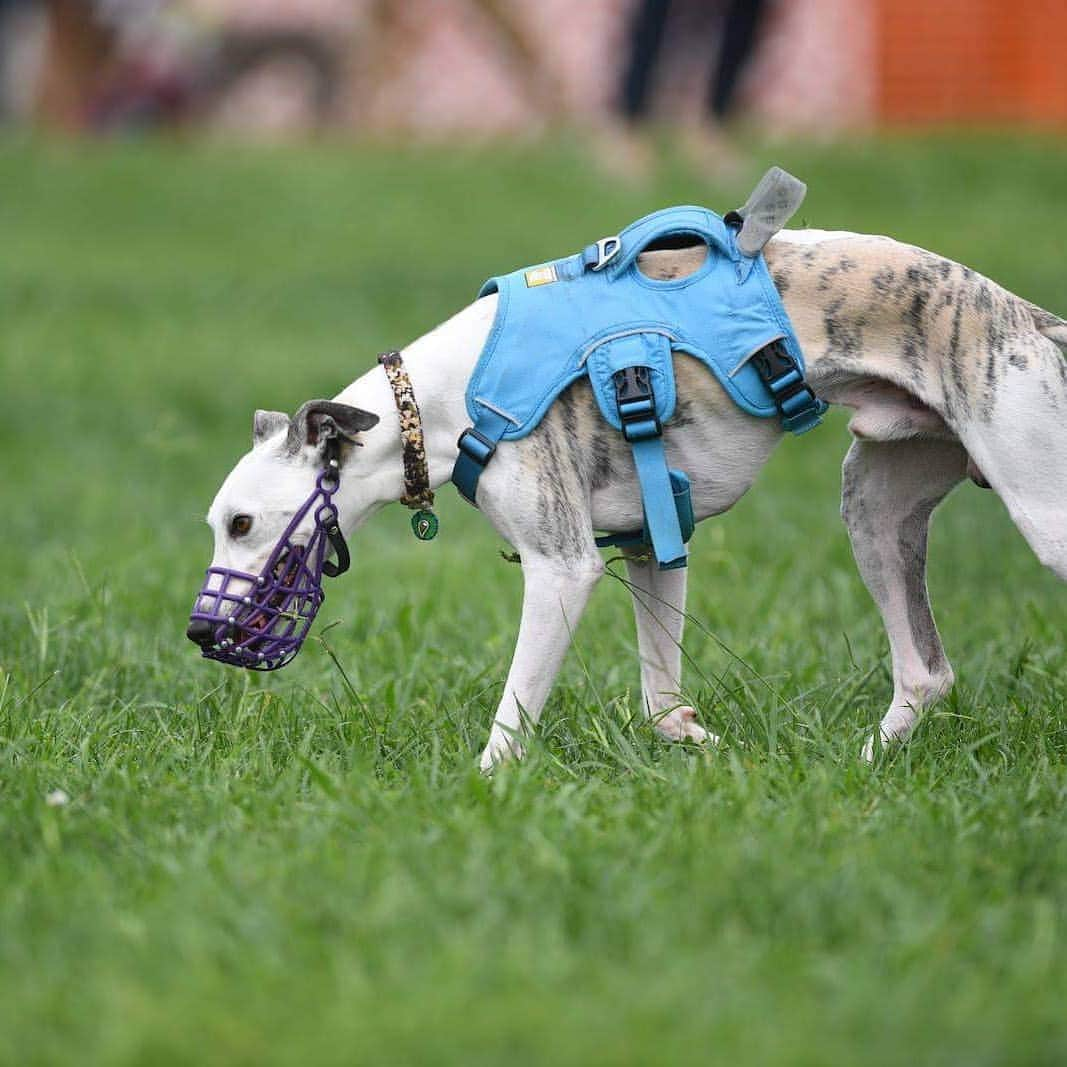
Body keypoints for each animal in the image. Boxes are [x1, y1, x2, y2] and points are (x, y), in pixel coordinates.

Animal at [192, 229, 1067, 772]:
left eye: (242, 523)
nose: (200, 630)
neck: (437, 400)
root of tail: (1025, 316)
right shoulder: (654, 539)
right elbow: (659, 703)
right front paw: (705, 748)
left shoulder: (562, 567)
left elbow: (513, 713)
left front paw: (482, 784)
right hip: (874, 508)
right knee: (924, 671)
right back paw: (856, 769)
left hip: (1040, 509)